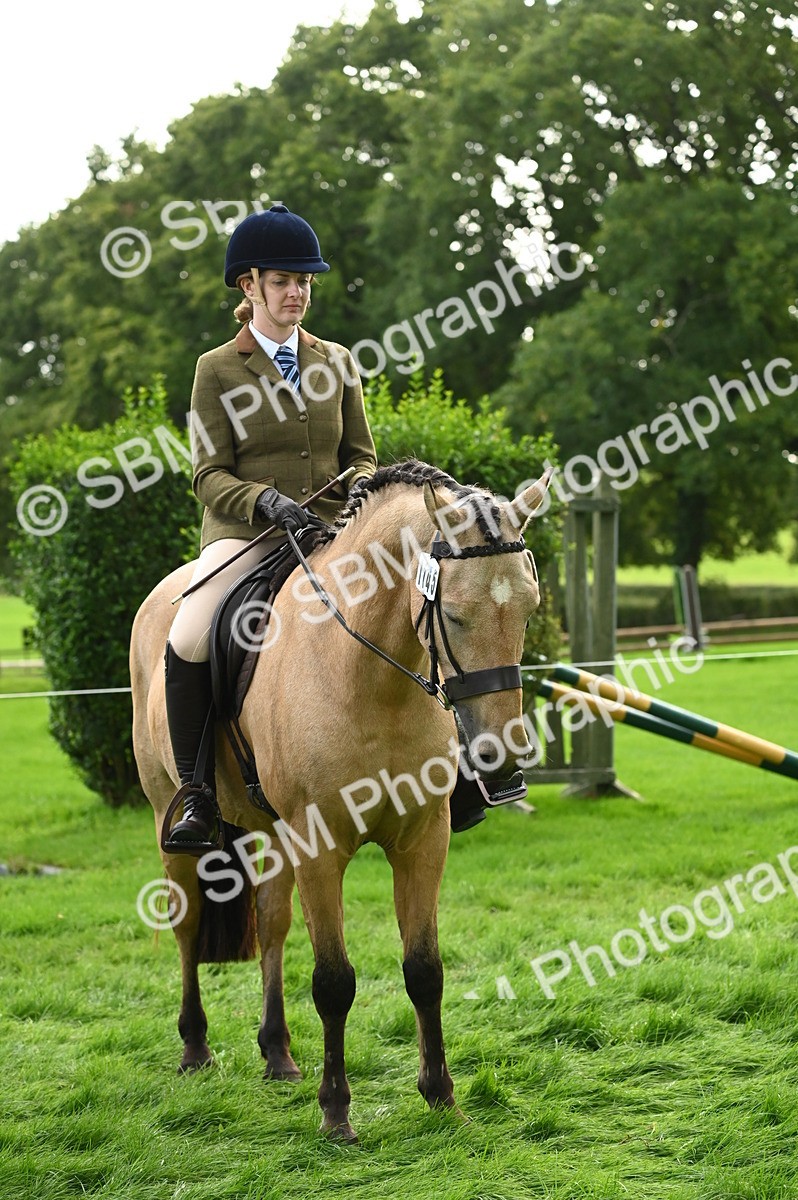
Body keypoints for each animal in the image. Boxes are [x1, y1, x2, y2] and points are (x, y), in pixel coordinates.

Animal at [129, 460, 550, 1142]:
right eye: (455, 615)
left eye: (529, 609)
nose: (502, 758)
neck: (372, 678)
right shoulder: (319, 847)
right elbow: (333, 981)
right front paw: (336, 1112)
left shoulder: (423, 841)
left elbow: (424, 971)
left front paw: (441, 1096)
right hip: (172, 816)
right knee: (188, 923)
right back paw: (195, 1048)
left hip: (268, 831)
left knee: (271, 924)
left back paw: (278, 1054)